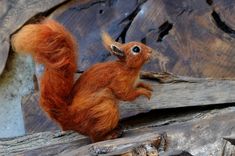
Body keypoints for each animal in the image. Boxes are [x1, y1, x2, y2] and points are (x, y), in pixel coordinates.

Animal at [11, 19, 153, 143]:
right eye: (136, 49)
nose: (151, 51)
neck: (126, 68)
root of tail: (67, 117)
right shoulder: (119, 80)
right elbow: (125, 95)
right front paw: (143, 92)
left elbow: (138, 85)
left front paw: (146, 86)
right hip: (105, 106)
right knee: (95, 138)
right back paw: (111, 135)